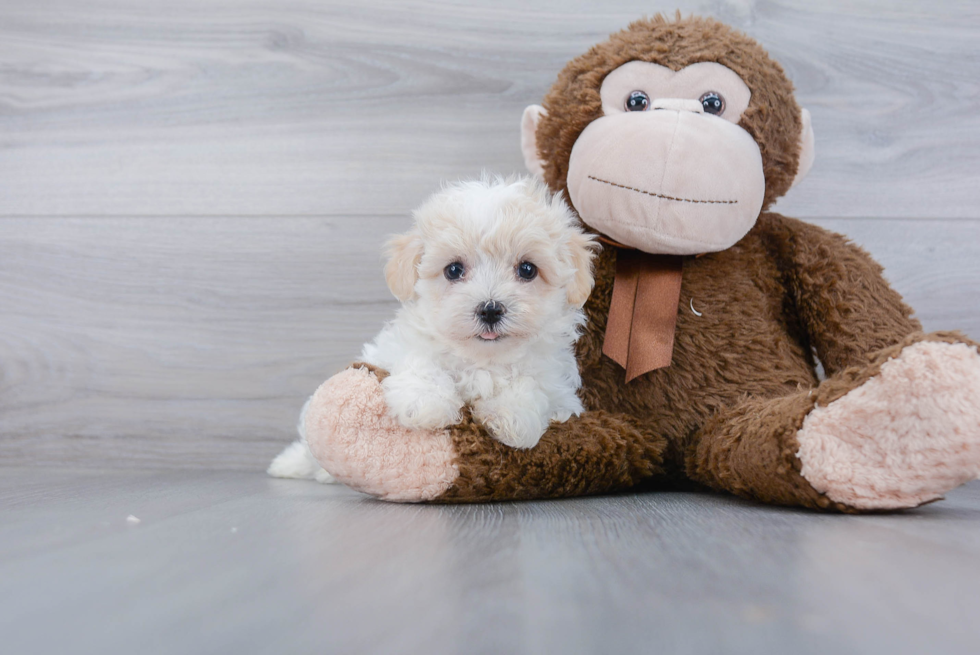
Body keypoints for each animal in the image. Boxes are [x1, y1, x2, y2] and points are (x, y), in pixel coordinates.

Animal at [268, 177, 596, 484]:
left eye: (527, 270)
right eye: (453, 270)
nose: (490, 309)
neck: (482, 359)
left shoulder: (557, 388)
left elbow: (531, 385)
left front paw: (512, 416)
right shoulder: (398, 347)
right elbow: (422, 362)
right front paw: (425, 405)